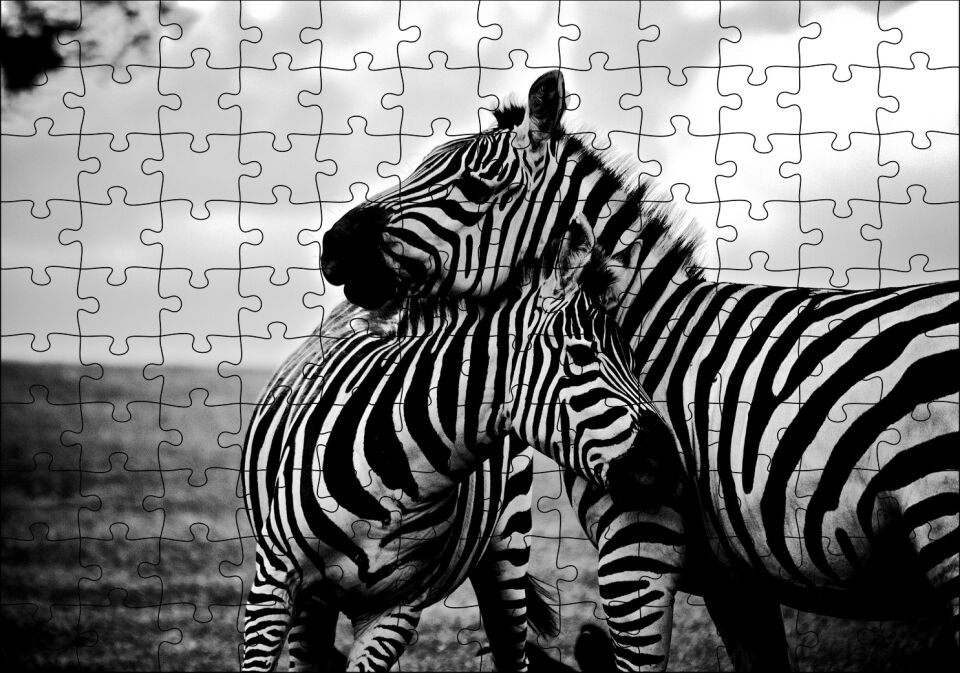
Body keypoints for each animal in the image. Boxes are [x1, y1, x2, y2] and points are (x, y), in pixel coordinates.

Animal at [240, 219, 672, 672]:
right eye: (581, 355)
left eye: (633, 360)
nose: (668, 463)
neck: (397, 478)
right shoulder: (273, 583)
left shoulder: (395, 610)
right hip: (314, 601)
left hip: (507, 554)